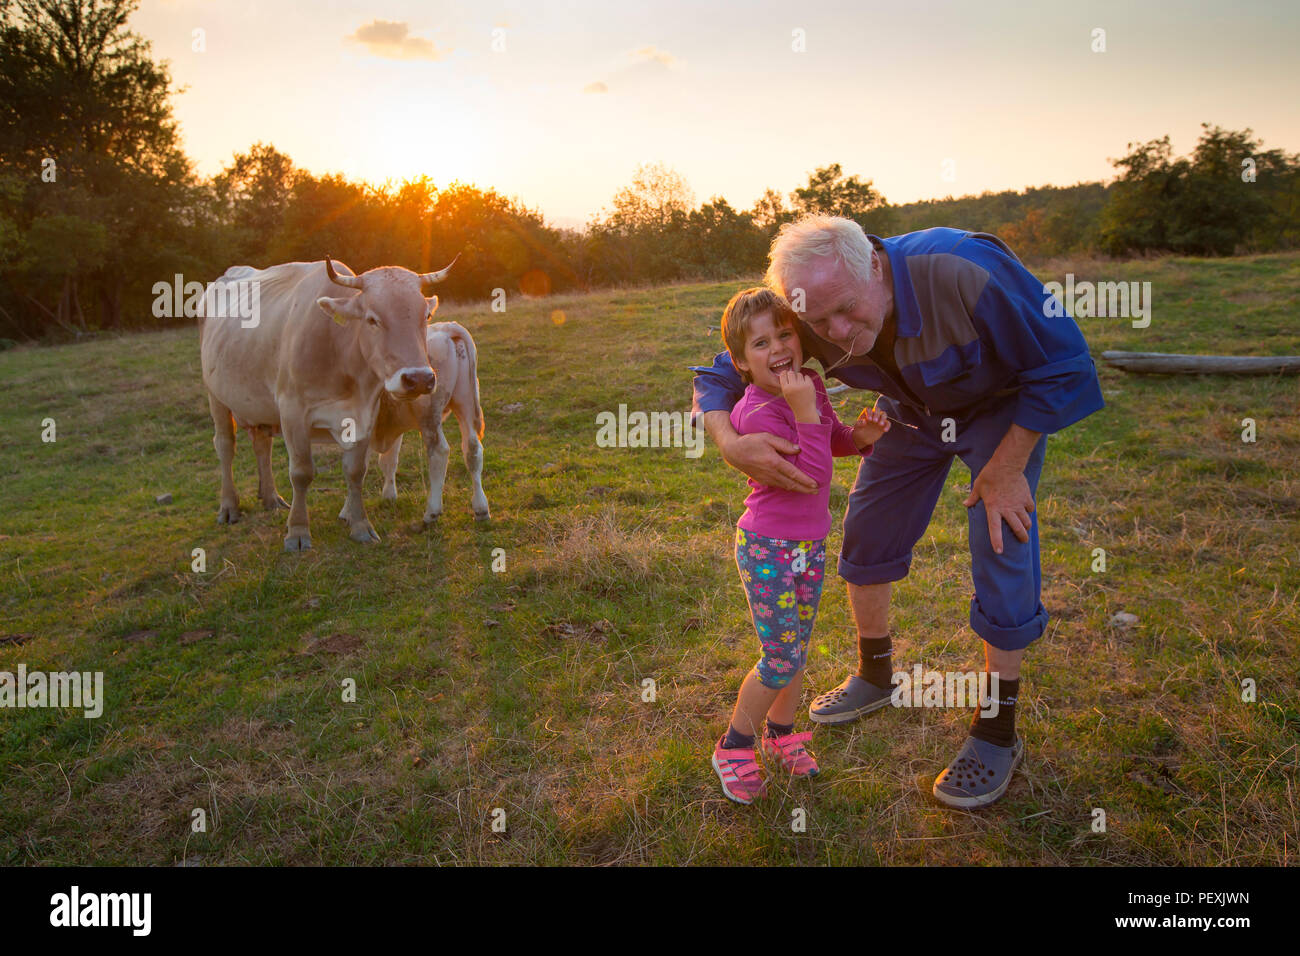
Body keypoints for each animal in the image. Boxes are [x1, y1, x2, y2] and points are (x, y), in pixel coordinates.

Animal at [195, 256, 454, 554]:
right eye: (372, 319)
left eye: (427, 317)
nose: (419, 379)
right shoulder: (292, 411)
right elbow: (301, 473)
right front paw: (297, 531)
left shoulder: (365, 412)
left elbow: (356, 472)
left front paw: (360, 526)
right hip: (216, 395)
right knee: (225, 446)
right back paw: (229, 507)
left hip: (258, 405)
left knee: (262, 444)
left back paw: (270, 497)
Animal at [374, 325, 488, 528]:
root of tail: (446, 328)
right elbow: (388, 460)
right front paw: (388, 495)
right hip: (465, 401)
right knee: (473, 449)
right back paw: (481, 508)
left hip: (429, 415)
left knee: (439, 451)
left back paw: (431, 512)